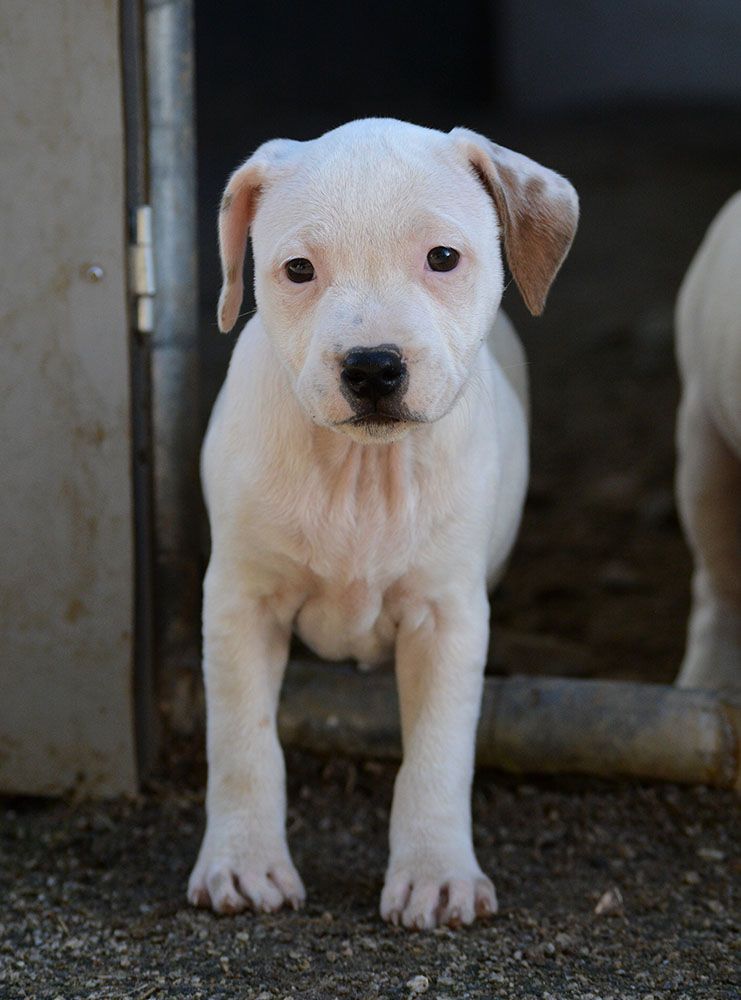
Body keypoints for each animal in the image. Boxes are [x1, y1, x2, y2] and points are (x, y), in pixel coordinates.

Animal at [188, 119, 578, 929]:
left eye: (442, 258)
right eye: (298, 269)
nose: (372, 368)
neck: (361, 472)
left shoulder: (447, 615)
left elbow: (437, 751)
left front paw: (434, 873)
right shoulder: (239, 602)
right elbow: (242, 742)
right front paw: (243, 862)